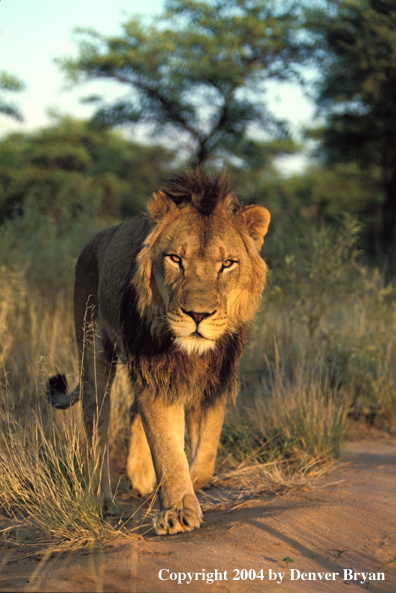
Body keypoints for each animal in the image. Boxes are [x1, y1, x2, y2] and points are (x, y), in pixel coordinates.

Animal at [49, 169, 270, 536]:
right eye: (175, 259)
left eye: (227, 264)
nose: (198, 315)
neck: (191, 353)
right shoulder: (157, 378)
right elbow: (167, 447)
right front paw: (178, 510)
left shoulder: (216, 380)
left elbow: (206, 454)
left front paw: (181, 489)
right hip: (93, 352)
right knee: (97, 427)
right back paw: (103, 501)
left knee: (132, 412)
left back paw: (140, 478)